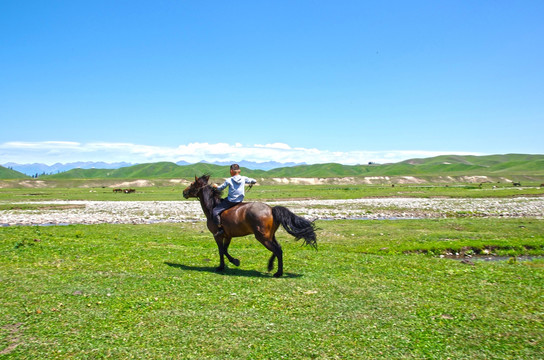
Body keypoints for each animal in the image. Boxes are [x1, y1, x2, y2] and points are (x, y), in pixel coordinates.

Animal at [184, 176, 318, 278]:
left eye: (192, 184)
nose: (184, 192)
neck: (212, 208)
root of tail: (271, 209)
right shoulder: (228, 236)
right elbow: (225, 250)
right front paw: (231, 263)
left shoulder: (217, 236)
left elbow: (221, 250)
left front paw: (227, 264)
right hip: (270, 236)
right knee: (278, 249)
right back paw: (271, 266)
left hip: (262, 237)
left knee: (277, 250)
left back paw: (278, 273)